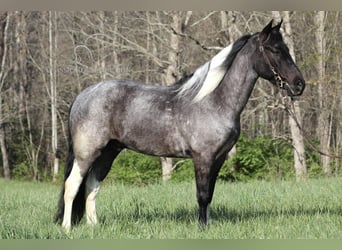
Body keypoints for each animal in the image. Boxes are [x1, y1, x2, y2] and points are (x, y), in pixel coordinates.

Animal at [54, 19, 306, 230]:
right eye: (275, 50)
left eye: (286, 49)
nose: (299, 84)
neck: (213, 101)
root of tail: (83, 95)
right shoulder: (202, 158)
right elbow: (202, 195)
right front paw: (202, 228)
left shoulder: (218, 159)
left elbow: (210, 193)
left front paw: (208, 224)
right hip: (87, 153)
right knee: (72, 186)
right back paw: (67, 228)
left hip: (108, 152)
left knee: (91, 186)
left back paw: (93, 226)